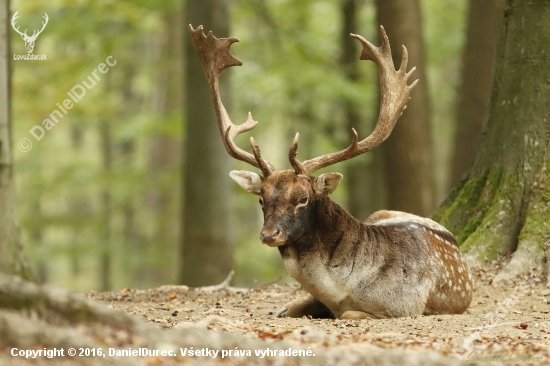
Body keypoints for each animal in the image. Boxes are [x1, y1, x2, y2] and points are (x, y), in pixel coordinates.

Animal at [190, 24, 474, 318]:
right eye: (261, 198)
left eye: (303, 198)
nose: (269, 234)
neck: (339, 292)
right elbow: (291, 308)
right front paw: (287, 307)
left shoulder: (403, 307)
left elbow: (348, 314)